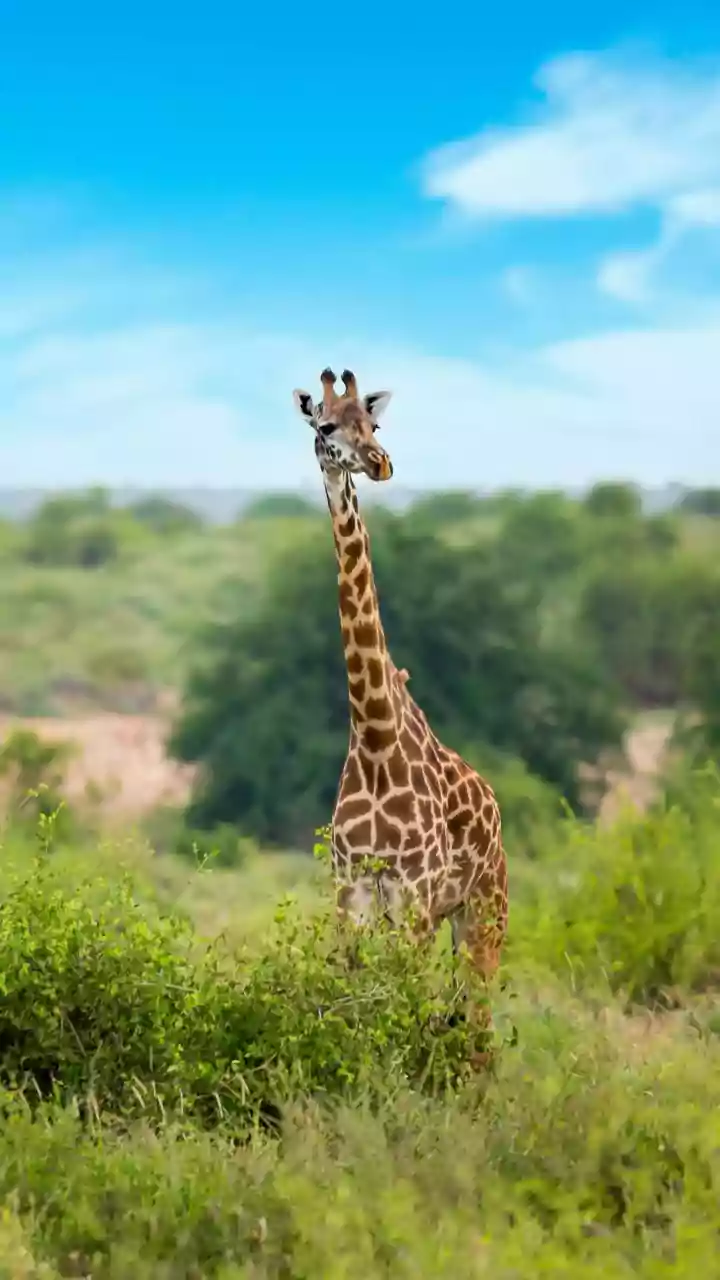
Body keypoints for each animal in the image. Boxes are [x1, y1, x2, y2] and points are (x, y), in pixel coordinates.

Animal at [292, 367, 508, 1020]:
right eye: (325, 427)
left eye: (374, 424)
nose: (380, 463)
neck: (376, 736)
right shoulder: (352, 893)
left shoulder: (414, 895)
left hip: (484, 911)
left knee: (479, 1020)